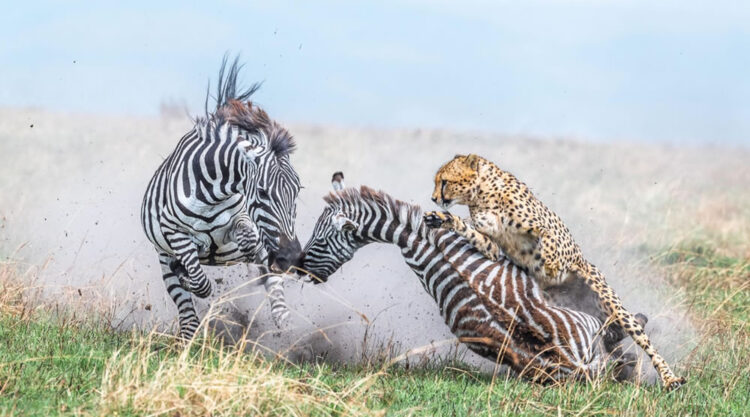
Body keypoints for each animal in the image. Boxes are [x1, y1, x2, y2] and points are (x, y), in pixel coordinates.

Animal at [141, 57, 302, 338]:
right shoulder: (175, 233)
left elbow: (249, 239)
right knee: (187, 312)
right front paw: (187, 274)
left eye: (298, 191)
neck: (210, 193)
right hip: (163, 258)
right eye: (262, 192)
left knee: (278, 301)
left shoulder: (241, 220)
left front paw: (252, 257)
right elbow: (200, 282)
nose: (291, 255)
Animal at [424, 153, 688, 390]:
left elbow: (547, 242)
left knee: (644, 342)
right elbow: (469, 230)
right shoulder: (492, 246)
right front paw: (441, 219)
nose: (434, 198)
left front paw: (549, 265)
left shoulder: (552, 235)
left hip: (612, 305)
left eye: (444, 181)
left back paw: (670, 379)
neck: (482, 194)